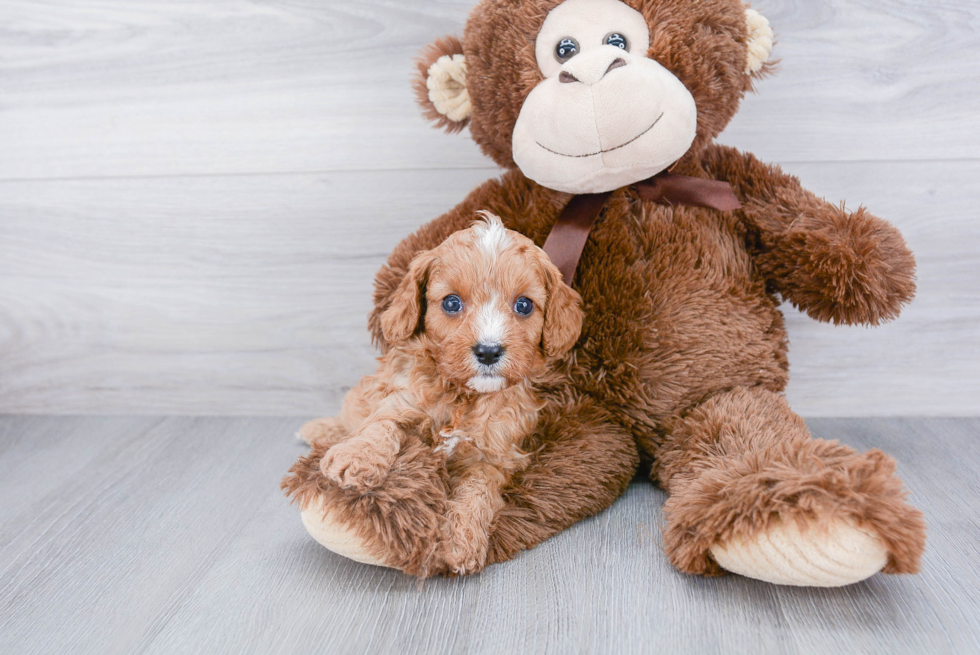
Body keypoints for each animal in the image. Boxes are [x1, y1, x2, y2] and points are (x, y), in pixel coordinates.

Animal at [300, 211, 580, 576]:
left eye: (523, 305)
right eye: (451, 302)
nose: (488, 351)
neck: (463, 396)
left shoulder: (494, 455)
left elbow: (476, 492)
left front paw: (462, 541)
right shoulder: (400, 399)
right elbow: (380, 426)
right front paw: (356, 457)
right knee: (350, 416)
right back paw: (321, 430)